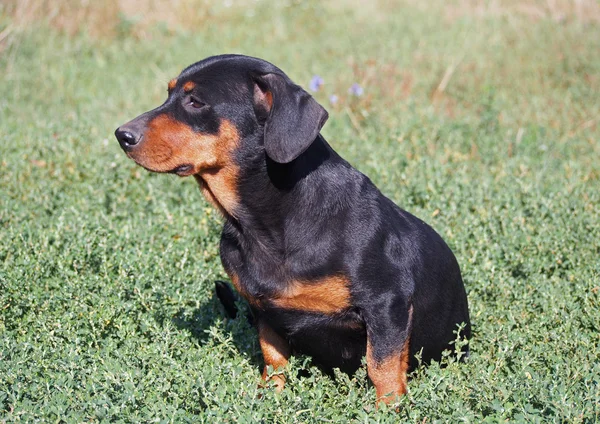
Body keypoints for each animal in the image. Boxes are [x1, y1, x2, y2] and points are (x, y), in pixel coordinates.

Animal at [115, 53, 472, 404]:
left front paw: (387, 409)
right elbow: (273, 359)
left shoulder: (387, 303)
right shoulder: (264, 311)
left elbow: (381, 366)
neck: (270, 221)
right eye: (169, 93)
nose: (122, 135)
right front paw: (269, 398)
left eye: (195, 101)